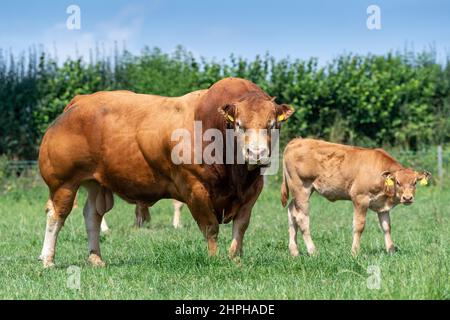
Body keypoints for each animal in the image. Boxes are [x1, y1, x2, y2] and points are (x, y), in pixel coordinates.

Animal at [38, 78, 296, 268]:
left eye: (272, 124)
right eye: (240, 125)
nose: (256, 153)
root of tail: (79, 101)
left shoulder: (252, 190)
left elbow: (240, 226)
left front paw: (235, 259)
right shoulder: (194, 189)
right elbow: (210, 227)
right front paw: (214, 259)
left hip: (96, 183)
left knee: (92, 215)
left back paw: (95, 258)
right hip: (63, 183)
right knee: (56, 215)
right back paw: (48, 260)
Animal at [280, 139, 430, 256]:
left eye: (414, 182)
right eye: (398, 182)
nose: (407, 198)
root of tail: (296, 141)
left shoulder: (382, 205)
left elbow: (386, 227)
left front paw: (391, 251)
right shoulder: (360, 198)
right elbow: (359, 226)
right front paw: (355, 252)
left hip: (301, 192)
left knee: (292, 212)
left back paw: (294, 252)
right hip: (301, 189)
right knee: (302, 218)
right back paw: (313, 251)